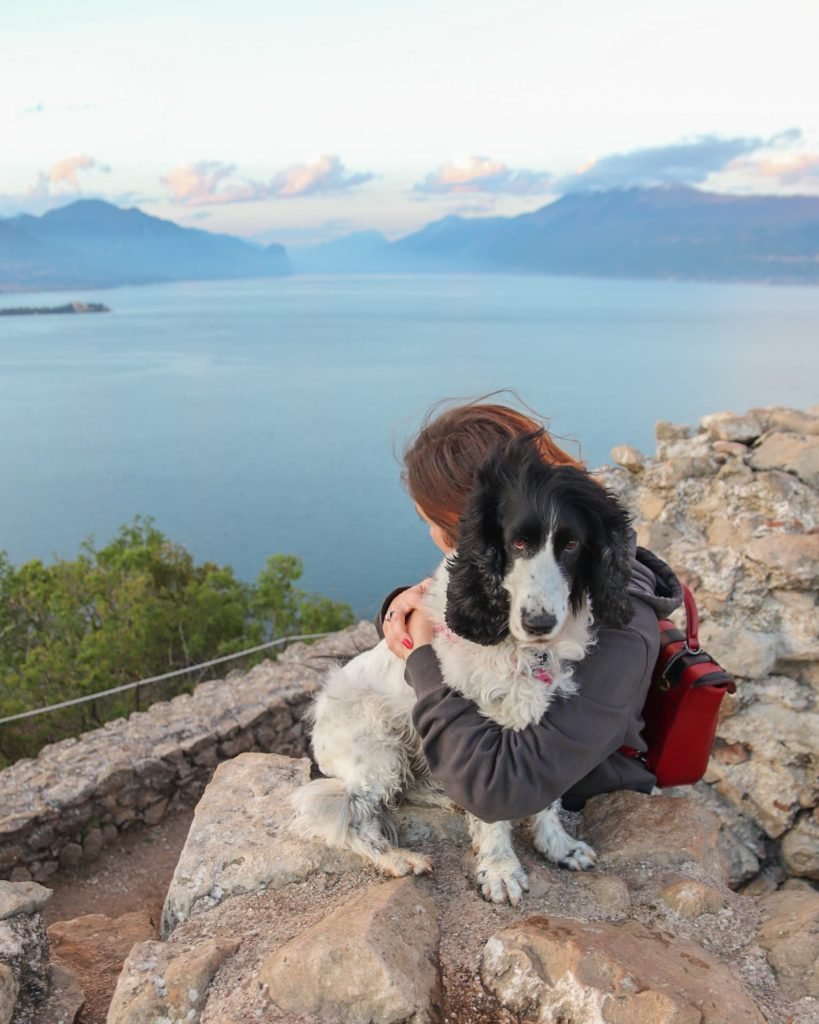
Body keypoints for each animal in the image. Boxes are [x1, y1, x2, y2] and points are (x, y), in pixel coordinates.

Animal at [290, 434, 630, 905]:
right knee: (347, 814)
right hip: (377, 747)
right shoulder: (483, 727)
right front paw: (501, 869)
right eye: (517, 543)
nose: (538, 622)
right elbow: (492, 812)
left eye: (572, 545)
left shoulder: (537, 721)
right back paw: (397, 859)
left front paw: (557, 846)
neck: (517, 645)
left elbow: (544, 795)